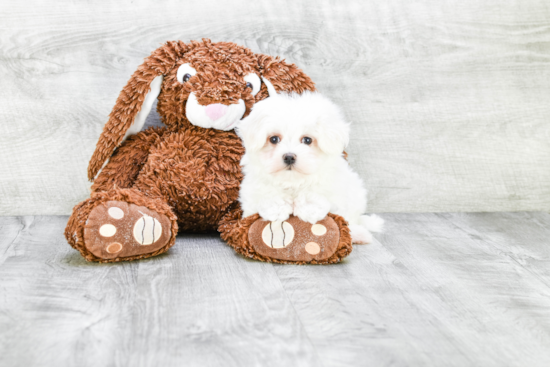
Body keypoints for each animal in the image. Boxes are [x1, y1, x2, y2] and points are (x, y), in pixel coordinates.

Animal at [237, 80, 384, 244]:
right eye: (274, 139)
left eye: (307, 140)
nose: (289, 156)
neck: (292, 182)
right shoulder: (253, 189)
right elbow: (268, 192)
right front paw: (276, 208)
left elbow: (315, 191)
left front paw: (309, 209)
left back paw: (360, 234)